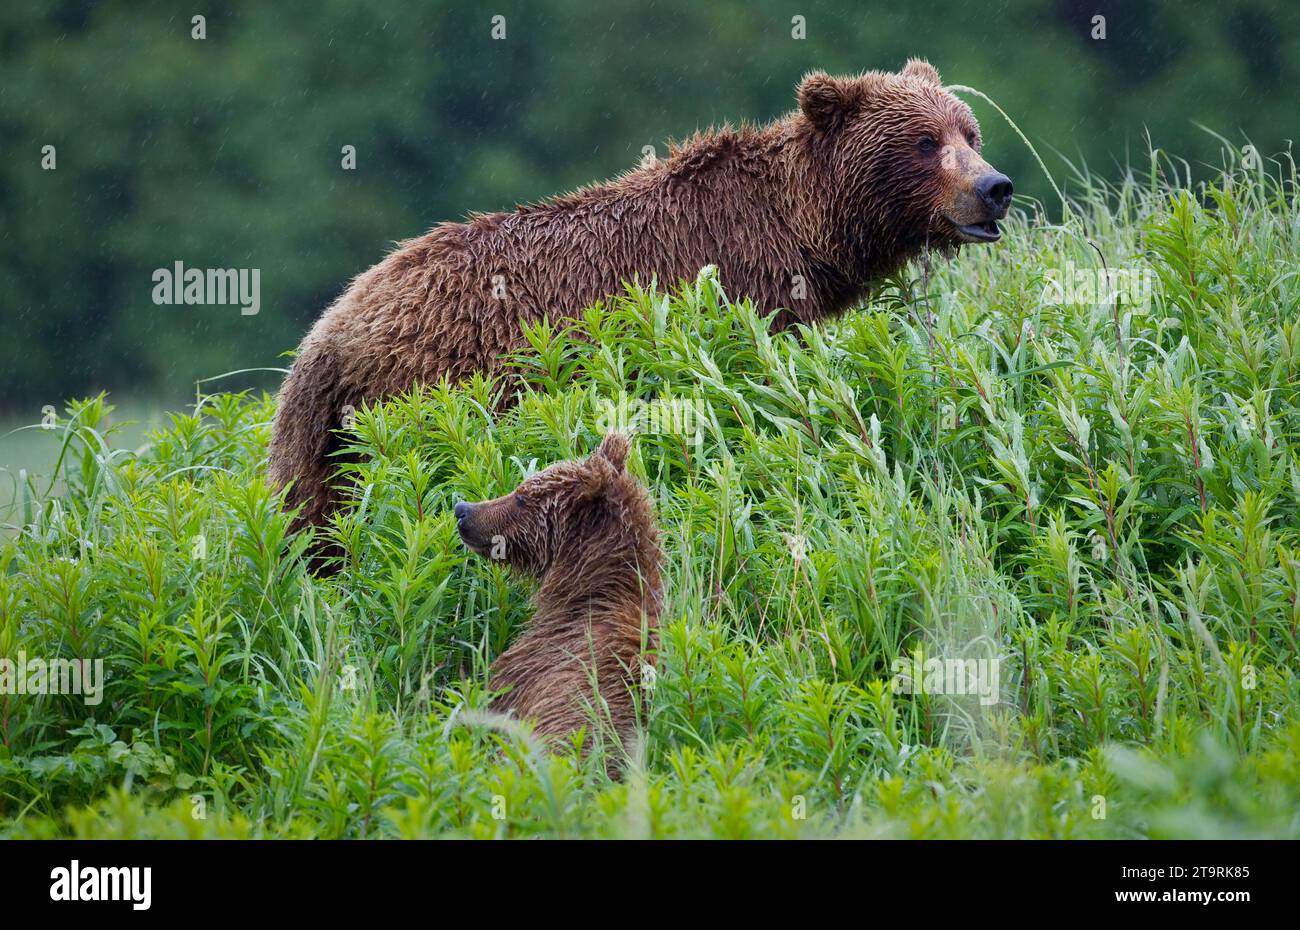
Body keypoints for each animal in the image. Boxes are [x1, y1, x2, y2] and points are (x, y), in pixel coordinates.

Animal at [269, 59, 1012, 534]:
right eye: (924, 142)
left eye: (970, 132)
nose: (994, 187)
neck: (807, 231)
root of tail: (323, 336)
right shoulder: (741, 291)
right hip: (421, 394)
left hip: (321, 447)